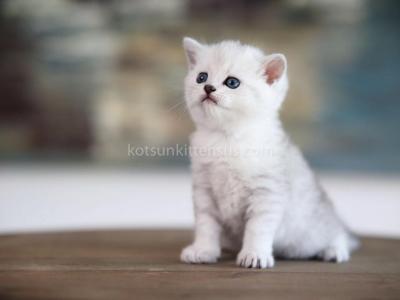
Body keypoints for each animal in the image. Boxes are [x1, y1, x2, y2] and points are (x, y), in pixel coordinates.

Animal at [180, 37, 358, 270]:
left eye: (232, 82)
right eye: (201, 77)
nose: (208, 87)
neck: (227, 138)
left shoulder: (267, 193)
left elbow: (257, 228)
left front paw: (254, 254)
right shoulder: (204, 191)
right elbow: (206, 225)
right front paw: (203, 250)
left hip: (312, 231)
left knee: (337, 234)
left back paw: (334, 250)